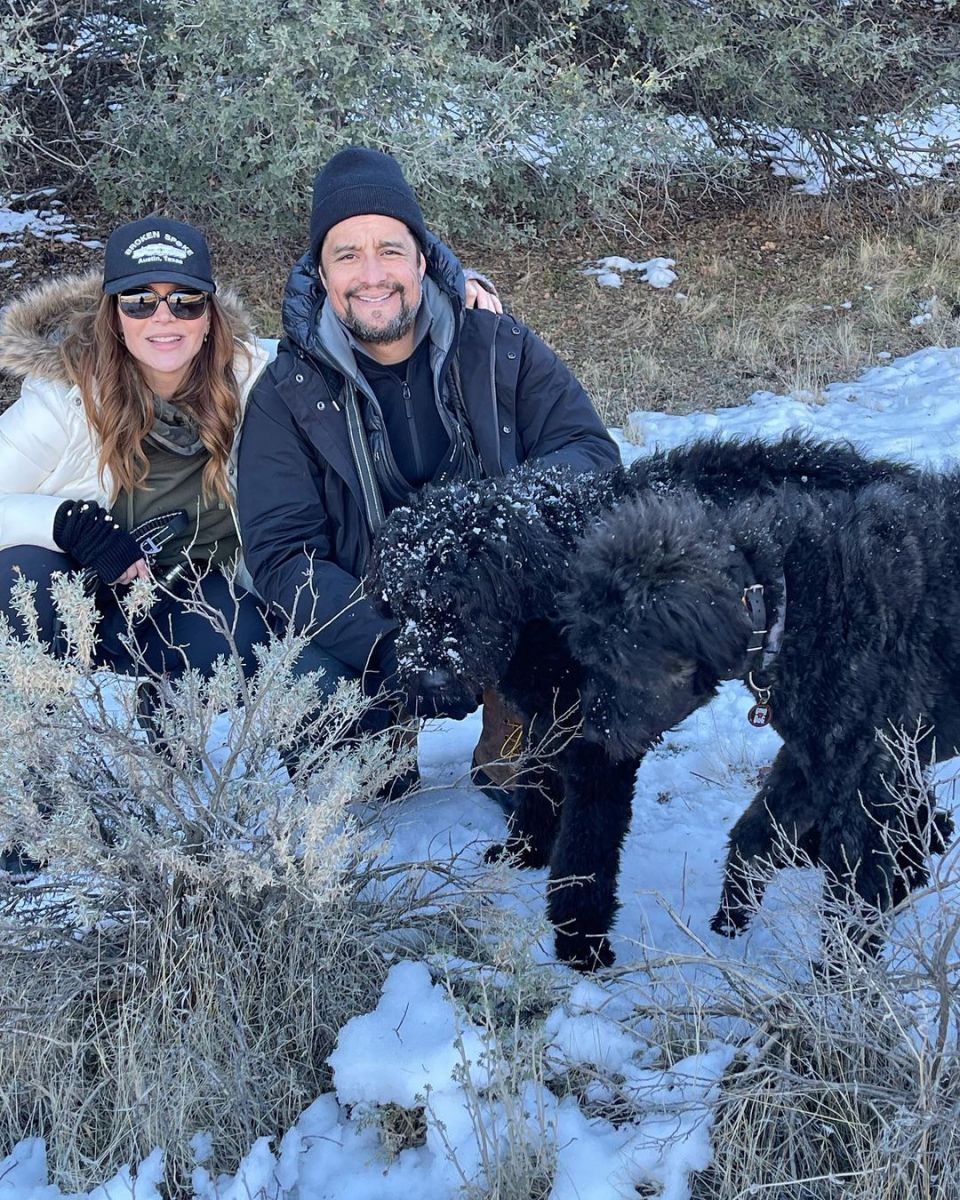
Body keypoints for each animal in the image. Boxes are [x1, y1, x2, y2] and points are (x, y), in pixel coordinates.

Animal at [369, 439, 950, 964]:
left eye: (461, 603)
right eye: (403, 603)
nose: (427, 687)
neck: (546, 585)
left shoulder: (598, 751)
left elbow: (585, 851)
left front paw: (580, 941)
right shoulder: (549, 721)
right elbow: (538, 787)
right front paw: (525, 852)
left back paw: (905, 867)